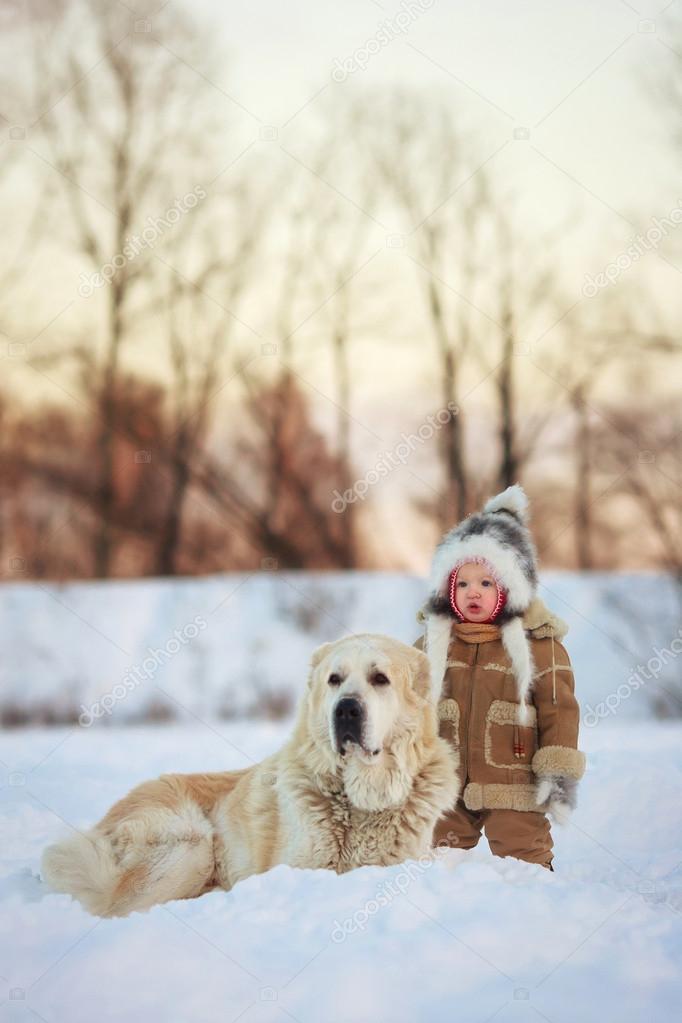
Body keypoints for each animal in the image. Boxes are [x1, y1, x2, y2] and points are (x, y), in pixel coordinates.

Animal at [41, 634, 458, 916]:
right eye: (335, 679)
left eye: (380, 679)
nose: (346, 710)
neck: (360, 800)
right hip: (191, 845)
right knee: (114, 905)